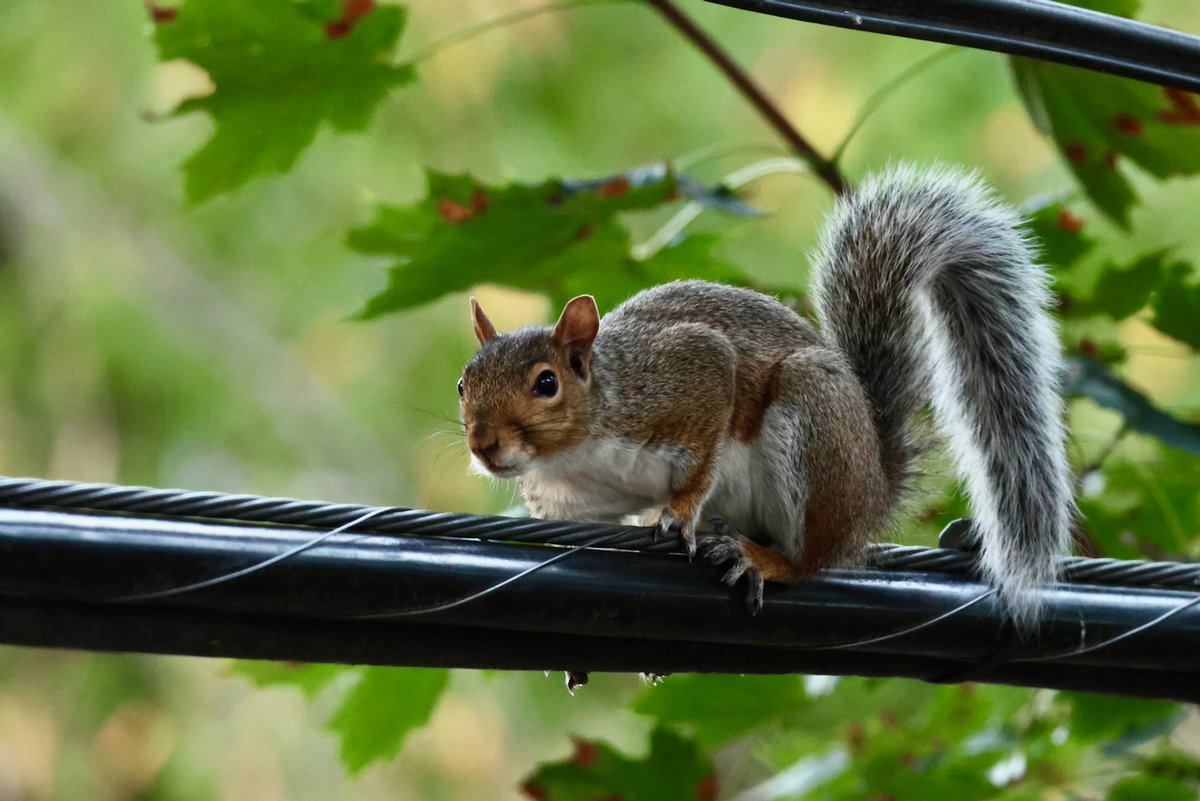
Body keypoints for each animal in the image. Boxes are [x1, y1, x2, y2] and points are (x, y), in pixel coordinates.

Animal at [457, 164, 1073, 625]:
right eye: (463, 385)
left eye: (546, 383)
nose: (484, 445)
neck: (575, 453)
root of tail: (875, 486)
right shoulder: (575, 502)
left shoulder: (685, 376)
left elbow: (705, 435)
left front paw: (680, 512)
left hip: (813, 422)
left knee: (814, 558)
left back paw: (764, 560)